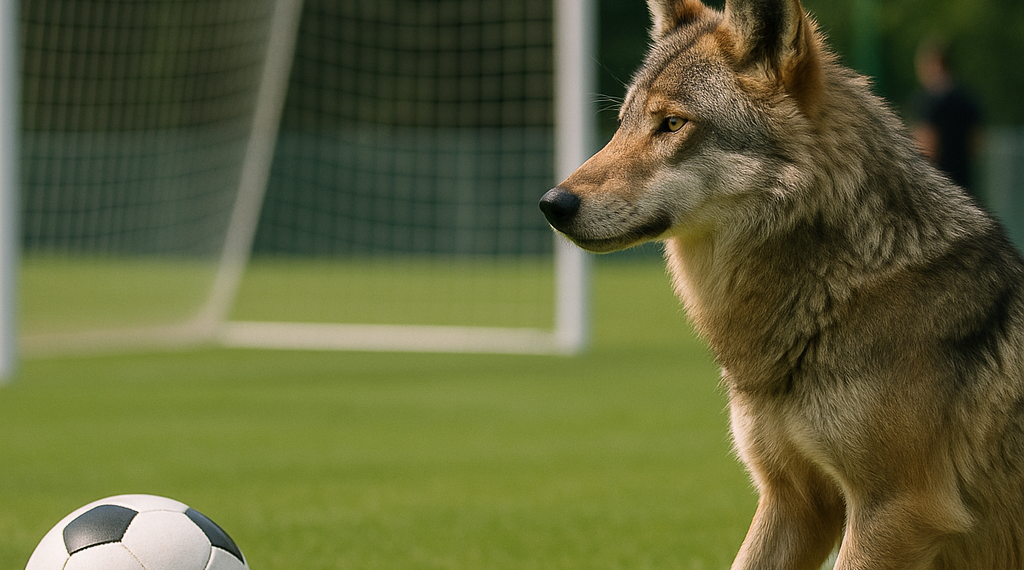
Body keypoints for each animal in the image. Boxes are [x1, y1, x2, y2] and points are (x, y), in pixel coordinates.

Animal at [539, 0, 1024, 568]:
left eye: (672, 123)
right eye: (622, 125)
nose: (552, 204)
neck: (841, 291)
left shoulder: (898, 512)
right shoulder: (793, 500)